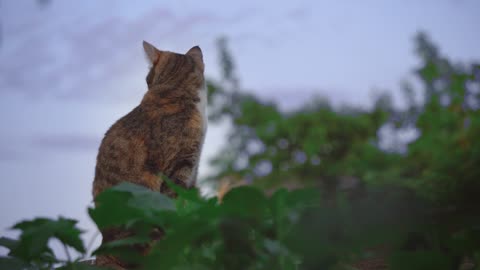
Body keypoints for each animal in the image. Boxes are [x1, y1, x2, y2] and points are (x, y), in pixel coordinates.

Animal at [93, 41, 207, 268]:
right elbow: (174, 203)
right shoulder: (178, 166)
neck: (176, 89)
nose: (147, 84)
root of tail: (106, 247)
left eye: (147, 78)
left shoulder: (193, 168)